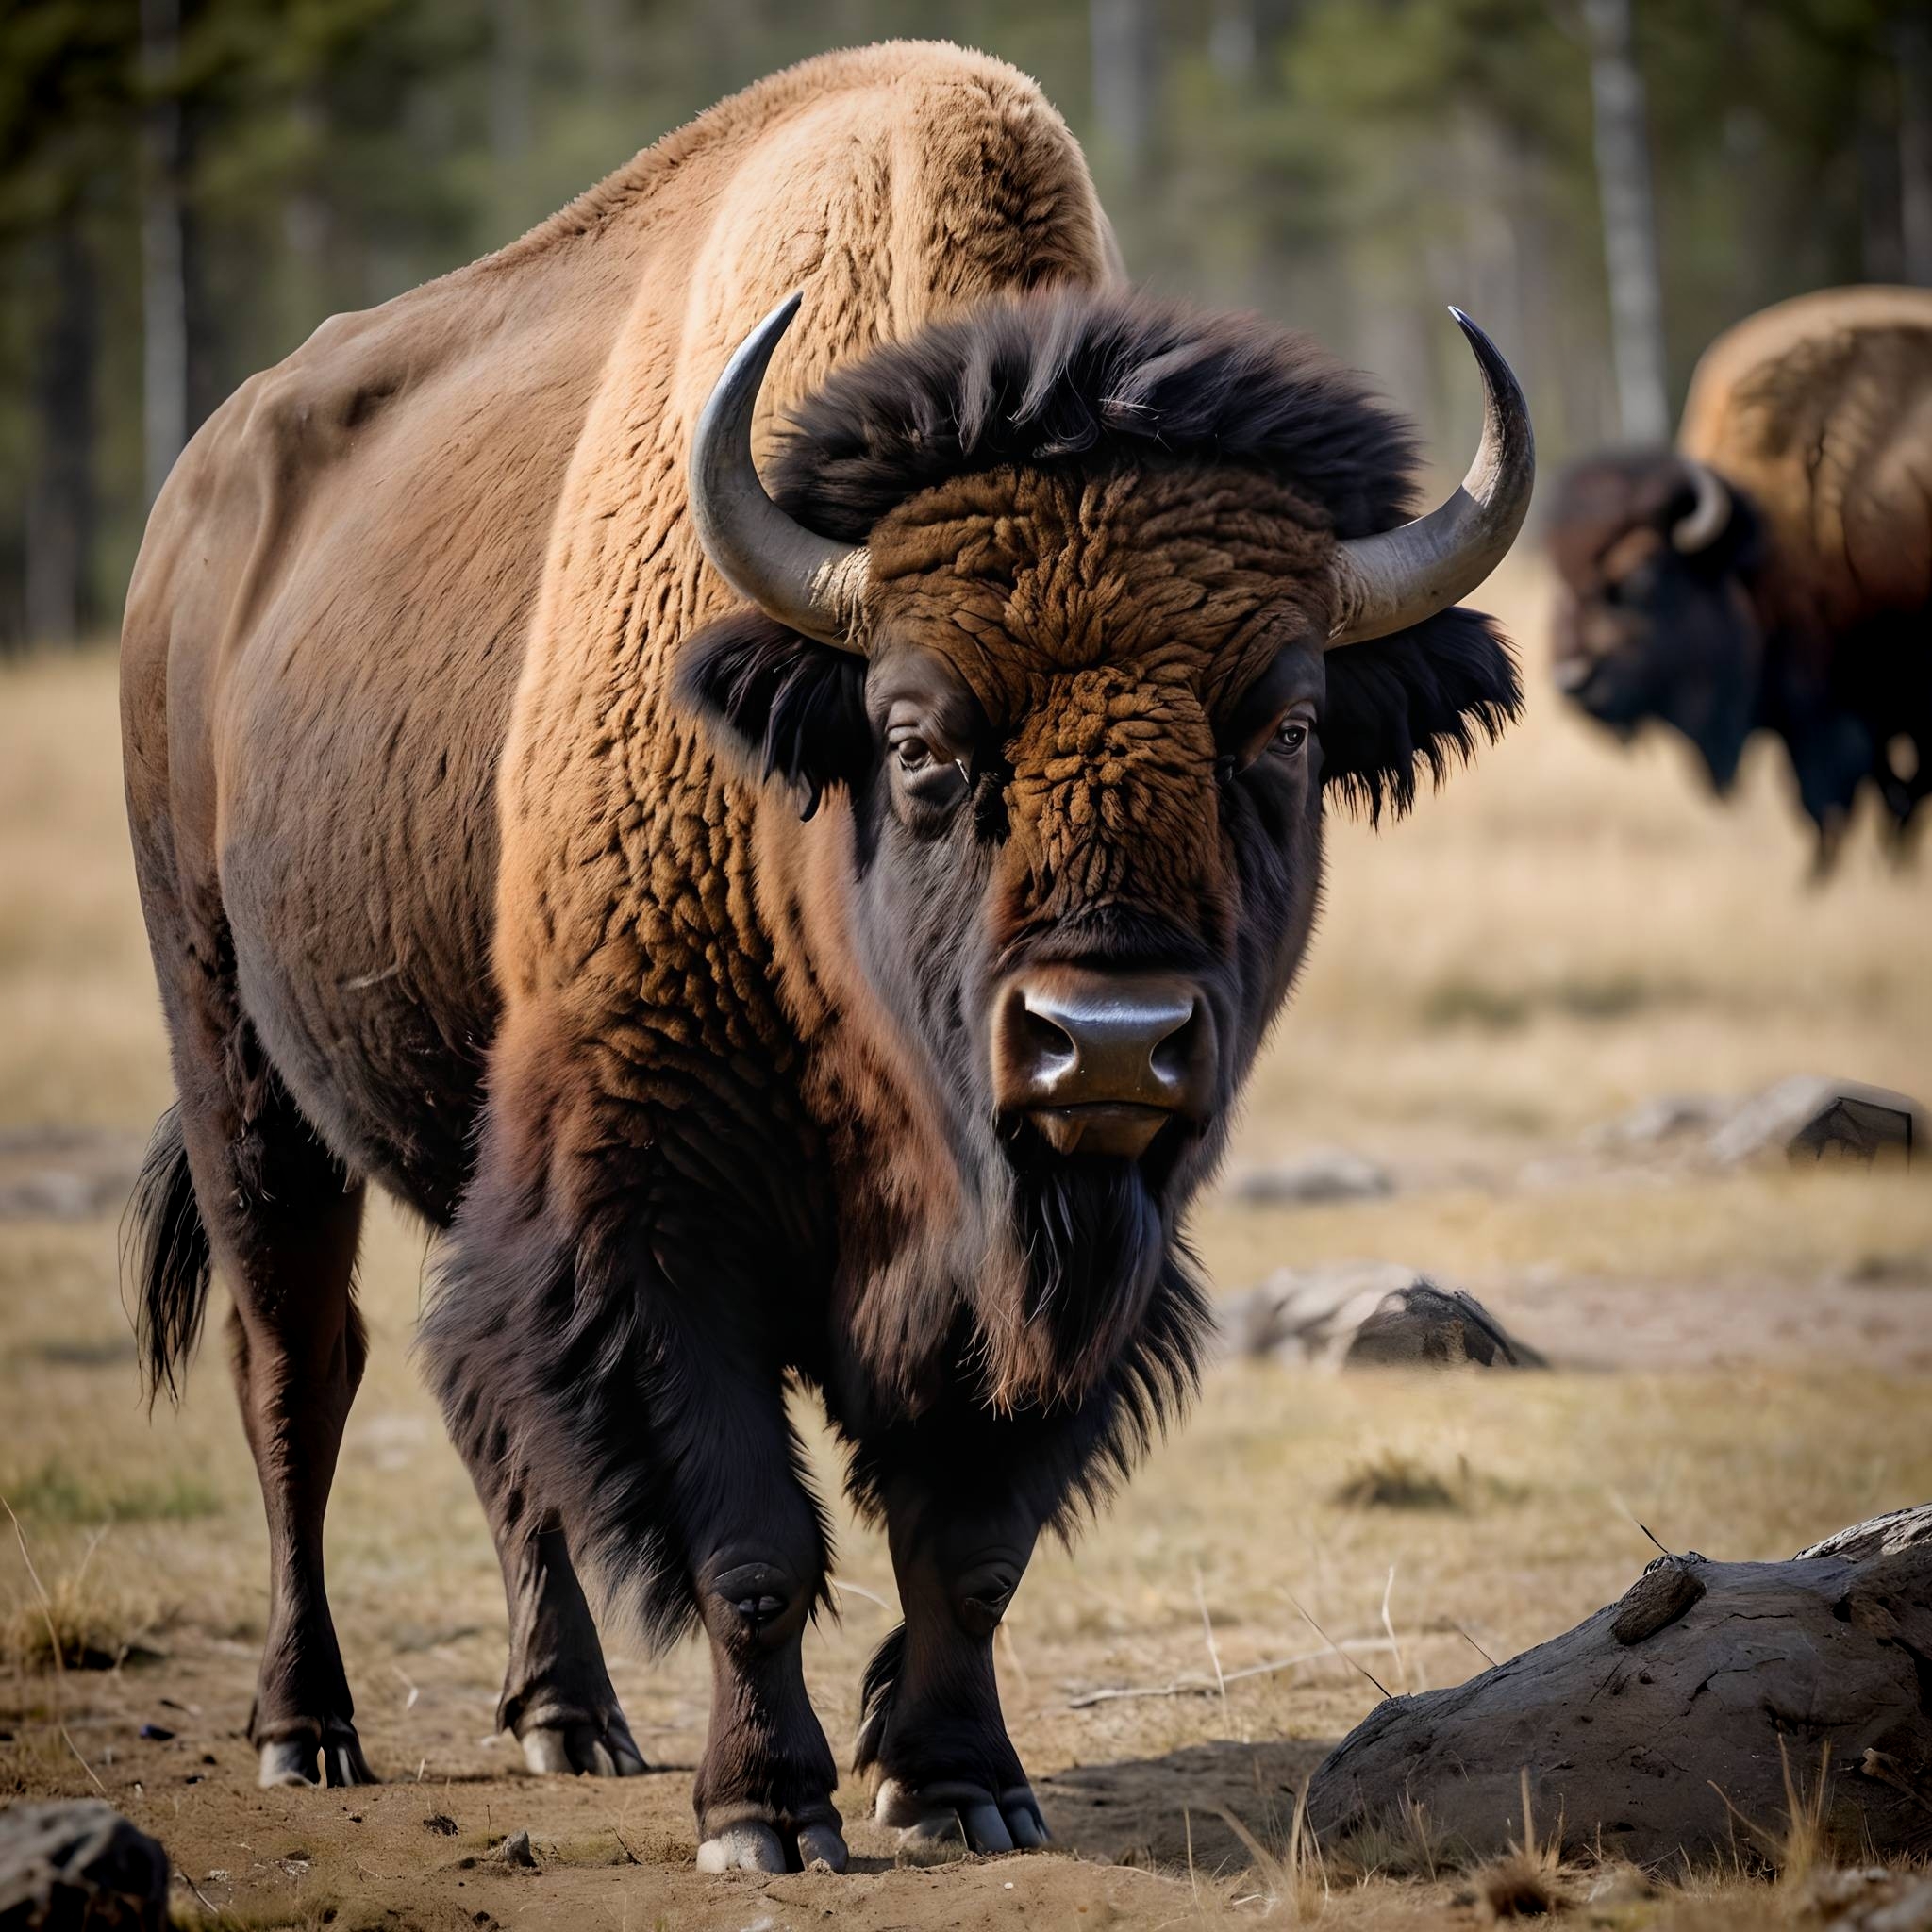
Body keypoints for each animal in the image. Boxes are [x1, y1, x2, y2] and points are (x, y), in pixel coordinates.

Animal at [125, 45, 1538, 1877]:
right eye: (916, 735)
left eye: (1287, 728)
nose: (1106, 1041)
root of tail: (189, 518)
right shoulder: (649, 1201)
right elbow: (750, 1539)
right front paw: (765, 1814)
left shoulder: (1075, 1251)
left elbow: (968, 1539)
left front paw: (955, 1785)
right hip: (235, 1056)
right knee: (300, 1368)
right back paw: (308, 1730)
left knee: (471, 1391)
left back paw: (569, 1720)